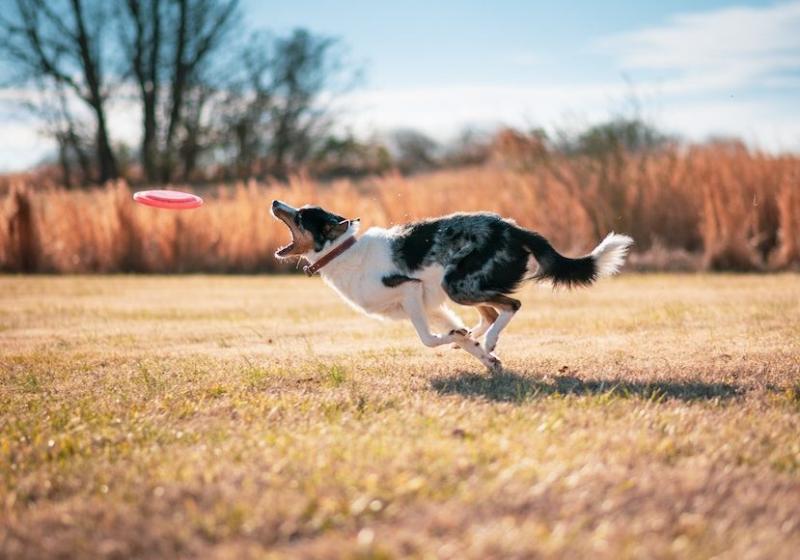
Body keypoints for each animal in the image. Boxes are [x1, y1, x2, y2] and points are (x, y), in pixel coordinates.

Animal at [272, 201, 636, 372]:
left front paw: (469, 344)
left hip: (458, 284)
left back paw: (488, 339)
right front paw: (477, 352)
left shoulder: (411, 291)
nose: (275, 202)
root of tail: (514, 229)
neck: (344, 251)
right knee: (490, 313)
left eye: (301, 216)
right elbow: (452, 337)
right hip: (460, 288)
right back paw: (477, 337)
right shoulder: (431, 305)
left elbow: (428, 340)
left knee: (510, 306)